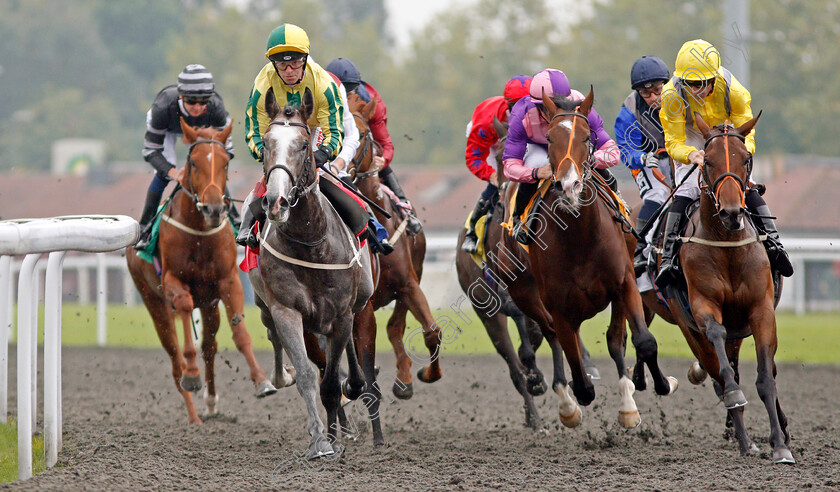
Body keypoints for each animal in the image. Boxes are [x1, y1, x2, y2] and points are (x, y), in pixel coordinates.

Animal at [125, 118, 276, 422]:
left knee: (209, 346)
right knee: (175, 358)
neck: (199, 235)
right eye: (193, 163)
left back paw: (210, 402)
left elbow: (239, 334)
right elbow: (184, 316)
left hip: (209, 304)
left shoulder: (228, 282)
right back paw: (193, 414)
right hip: (153, 301)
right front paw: (193, 376)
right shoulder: (173, 282)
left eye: (226, 162)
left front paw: (261, 380)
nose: (214, 208)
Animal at [248, 86, 376, 460]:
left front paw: (333, 436)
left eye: (304, 145)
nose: (275, 202)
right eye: (266, 142)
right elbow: (308, 376)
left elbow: (332, 382)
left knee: (348, 351)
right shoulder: (287, 310)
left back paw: (353, 390)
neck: (310, 243)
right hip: (271, 308)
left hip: (359, 299)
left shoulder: (340, 313)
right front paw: (320, 439)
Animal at [496, 90, 680, 428]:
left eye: (586, 136)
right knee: (555, 337)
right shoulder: (557, 305)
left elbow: (640, 341)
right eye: (550, 138)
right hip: (526, 294)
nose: (569, 186)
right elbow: (577, 371)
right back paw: (567, 403)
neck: (579, 238)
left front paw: (658, 387)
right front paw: (576, 399)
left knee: (612, 339)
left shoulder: (624, 284)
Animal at [664, 113, 796, 464]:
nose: (732, 212)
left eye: (746, 159)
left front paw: (780, 445)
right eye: (707, 161)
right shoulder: (703, 307)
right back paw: (744, 439)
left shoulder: (761, 310)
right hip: (691, 331)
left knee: (763, 369)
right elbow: (725, 369)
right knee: (723, 375)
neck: (727, 246)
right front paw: (740, 412)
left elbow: (766, 378)